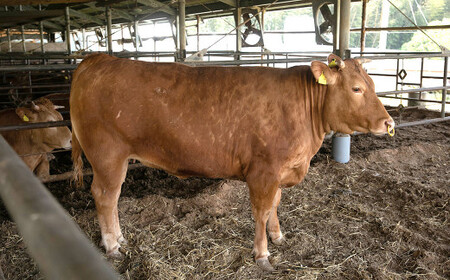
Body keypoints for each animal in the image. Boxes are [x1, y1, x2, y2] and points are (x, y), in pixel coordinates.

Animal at [69, 53, 394, 272]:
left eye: (372, 83)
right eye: (356, 88)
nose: (389, 123)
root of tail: (98, 59)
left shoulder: (279, 172)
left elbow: (276, 204)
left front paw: (278, 236)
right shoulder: (264, 171)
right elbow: (262, 210)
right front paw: (262, 254)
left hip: (118, 159)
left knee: (113, 197)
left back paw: (120, 239)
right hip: (108, 155)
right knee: (105, 196)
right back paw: (112, 246)